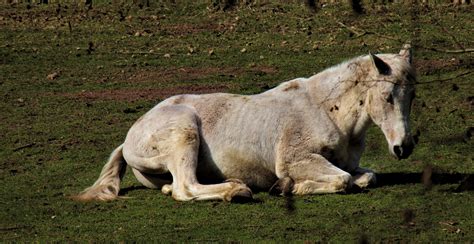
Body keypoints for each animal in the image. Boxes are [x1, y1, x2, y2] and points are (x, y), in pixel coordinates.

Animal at [73, 43, 414, 202]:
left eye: (411, 95)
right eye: (387, 96)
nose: (404, 148)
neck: (328, 110)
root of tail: (128, 140)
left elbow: (366, 177)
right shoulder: (296, 160)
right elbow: (343, 180)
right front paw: (289, 187)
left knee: (175, 186)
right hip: (184, 132)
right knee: (185, 187)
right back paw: (236, 191)